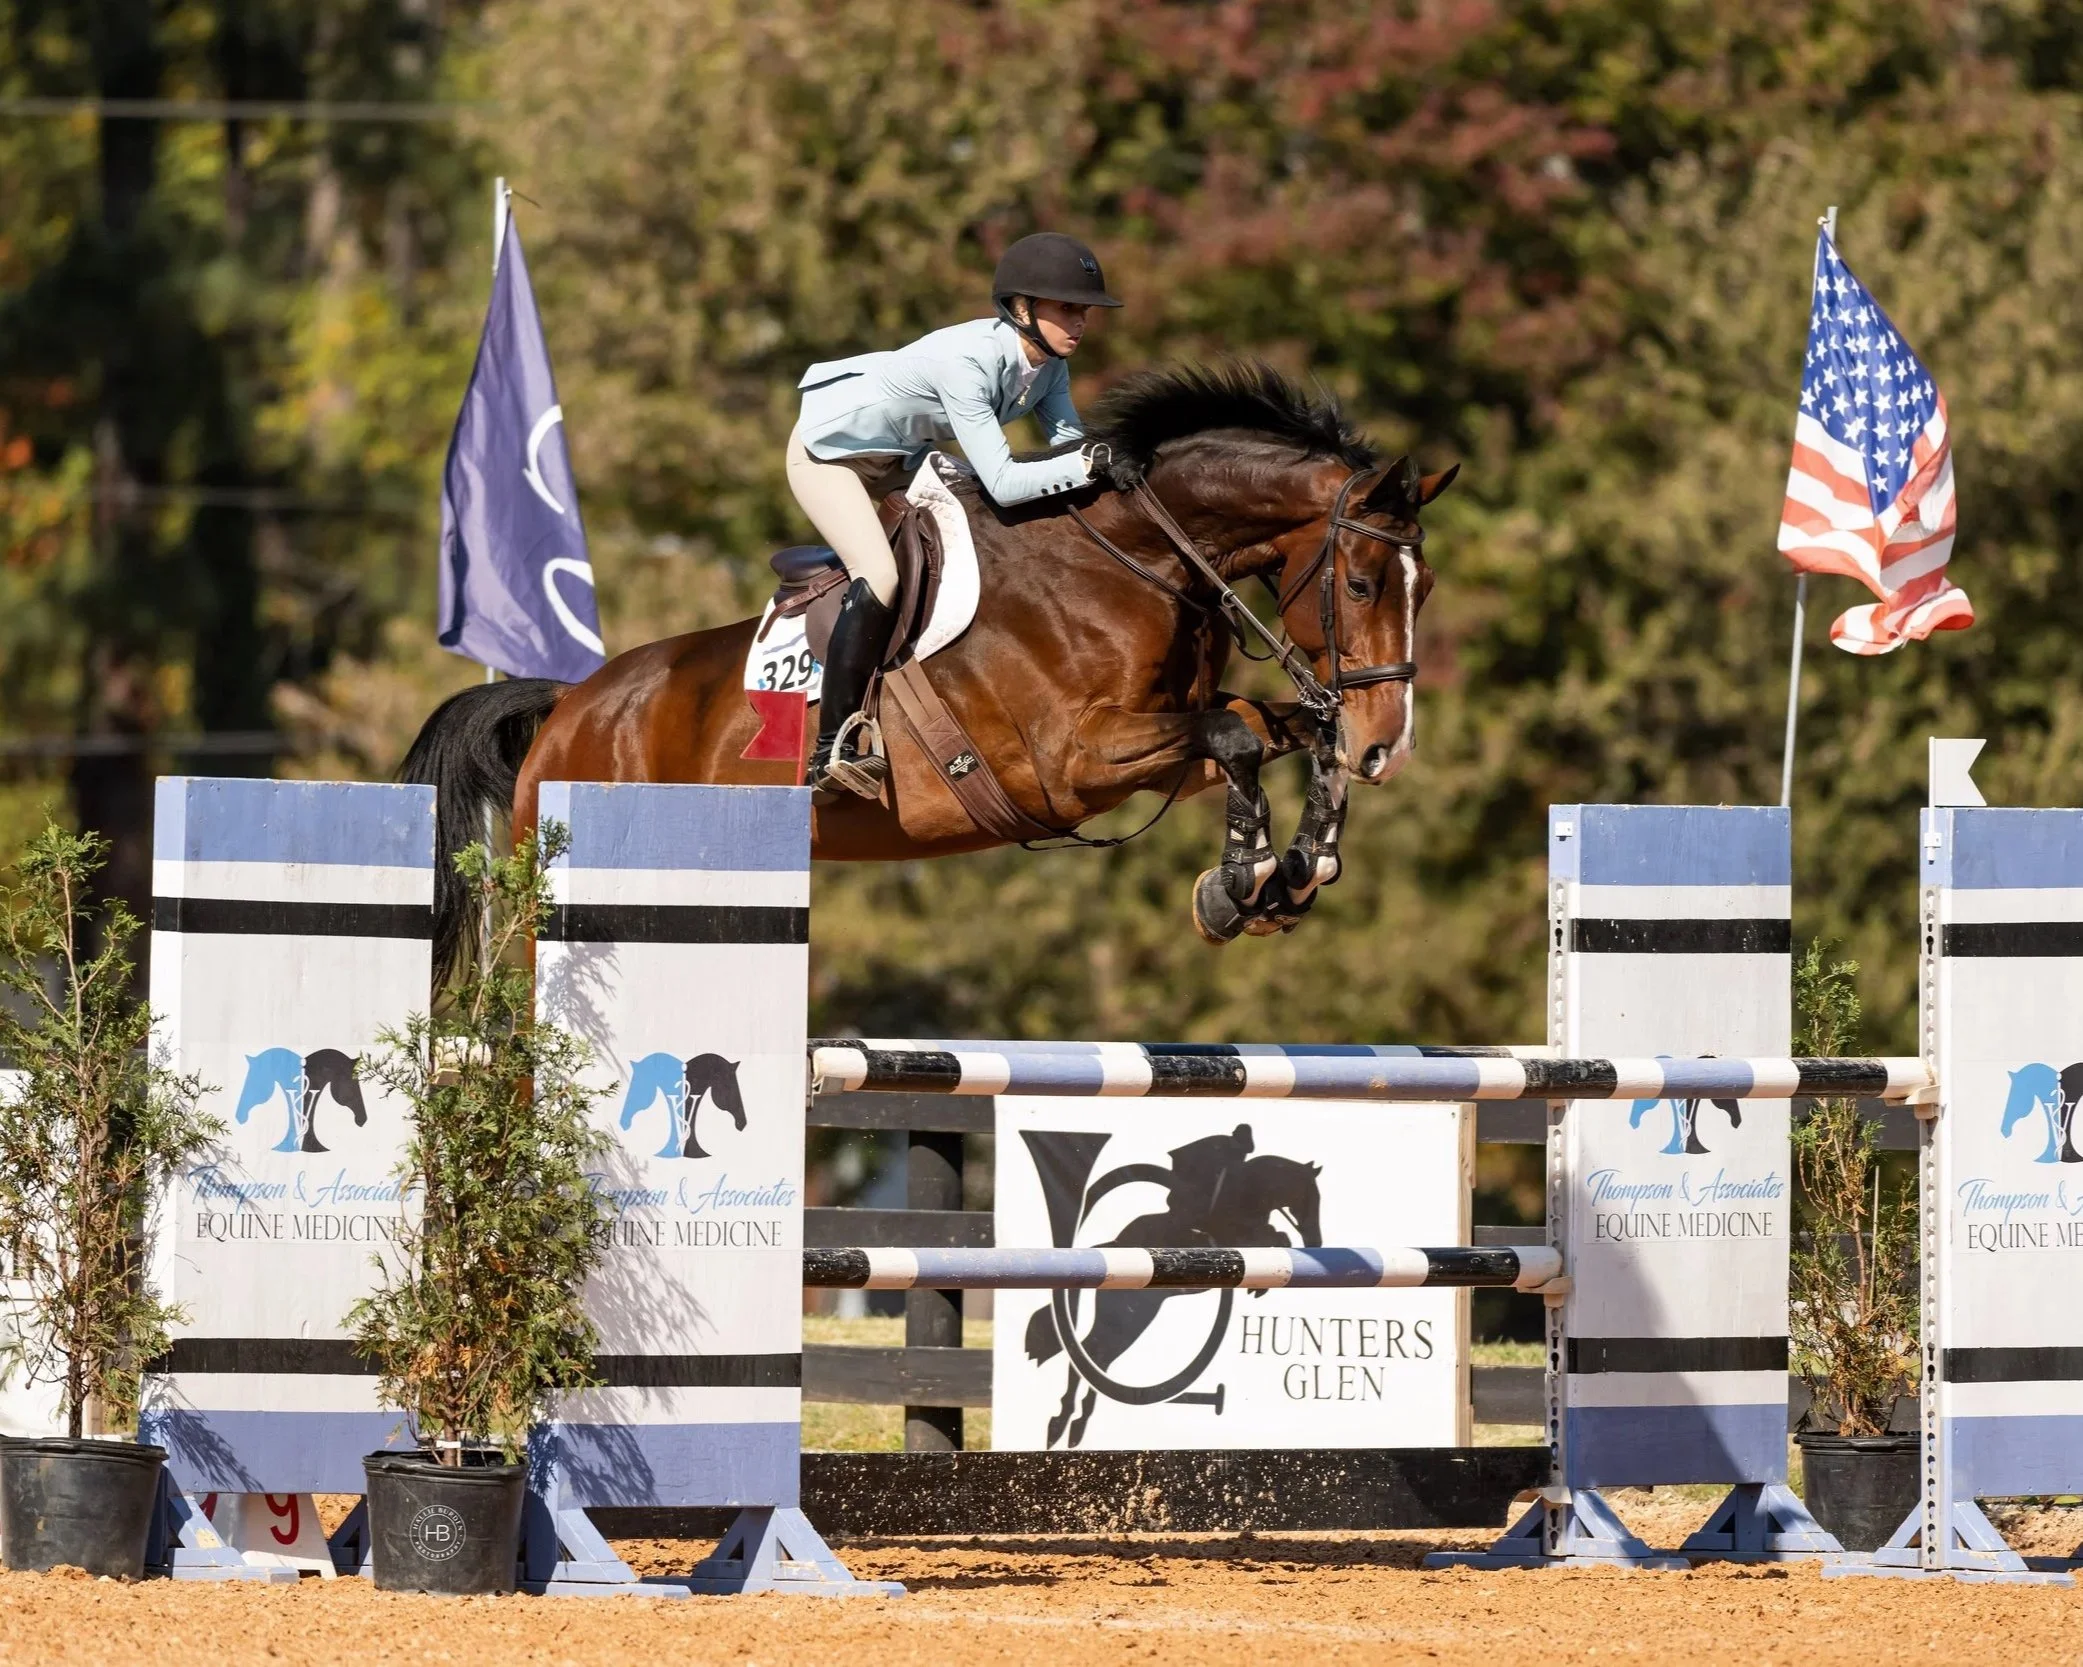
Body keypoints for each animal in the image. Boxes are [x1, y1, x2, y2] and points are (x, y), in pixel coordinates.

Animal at [398, 364, 1453, 974]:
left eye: (1426, 585)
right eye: (1361, 582)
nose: (1389, 747)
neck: (1135, 557)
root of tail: (570, 704)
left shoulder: (1156, 747)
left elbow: (1281, 731)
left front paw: (1298, 868)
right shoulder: (1069, 763)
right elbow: (1238, 734)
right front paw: (1241, 884)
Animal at [1024, 1147, 1324, 1449]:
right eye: (1310, 1197)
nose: (1317, 1244)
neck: (1246, 1196)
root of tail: (1111, 1249)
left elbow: (1278, 1237)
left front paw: (1261, 1285)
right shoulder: (1240, 1239)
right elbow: (1279, 1237)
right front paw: (1259, 1287)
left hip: (1131, 1319)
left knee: (1098, 1356)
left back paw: (1076, 1422)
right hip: (1130, 1318)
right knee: (1093, 1351)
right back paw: (1063, 1422)